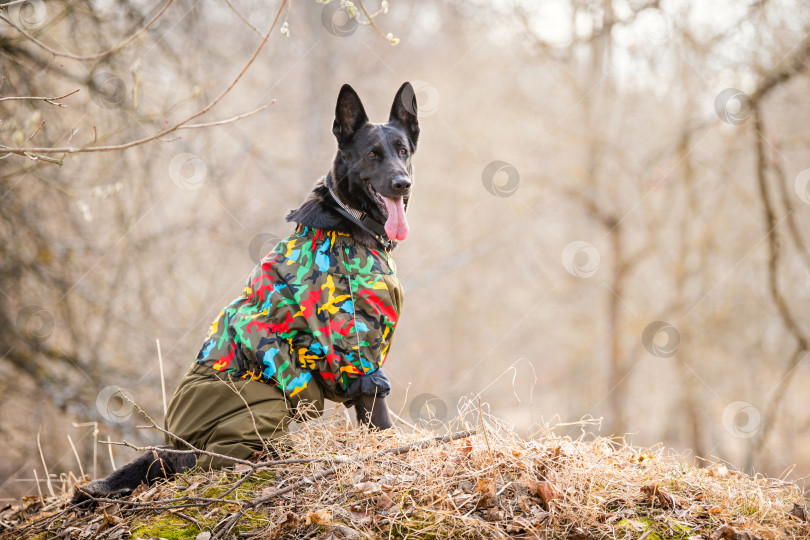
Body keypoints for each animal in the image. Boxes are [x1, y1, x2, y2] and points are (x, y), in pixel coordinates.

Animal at [72, 81, 420, 506]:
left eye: (403, 151)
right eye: (372, 154)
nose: (402, 183)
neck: (350, 222)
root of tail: (172, 444)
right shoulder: (359, 355)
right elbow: (378, 413)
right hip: (259, 405)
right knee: (211, 459)